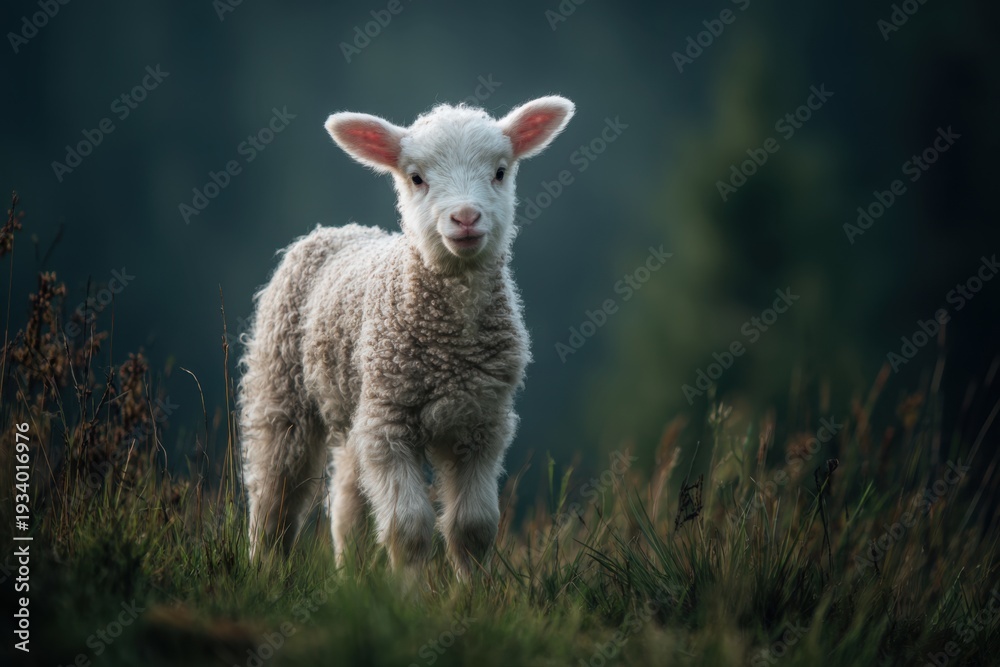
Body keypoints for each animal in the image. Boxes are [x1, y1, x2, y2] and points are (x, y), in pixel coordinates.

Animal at [238, 95, 575, 579]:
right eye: (416, 177)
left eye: (500, 171)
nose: (465, 217)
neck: (450, 348)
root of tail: (336, 230)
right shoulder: (391, 424)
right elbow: (409, 529)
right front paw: (408, 594)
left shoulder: (481, 424)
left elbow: (473, 528)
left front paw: (470, 592)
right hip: (284, 392)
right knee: (274, 493)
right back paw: (263, 567)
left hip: (358, 408)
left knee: (347, 504)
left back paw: (350, 577)